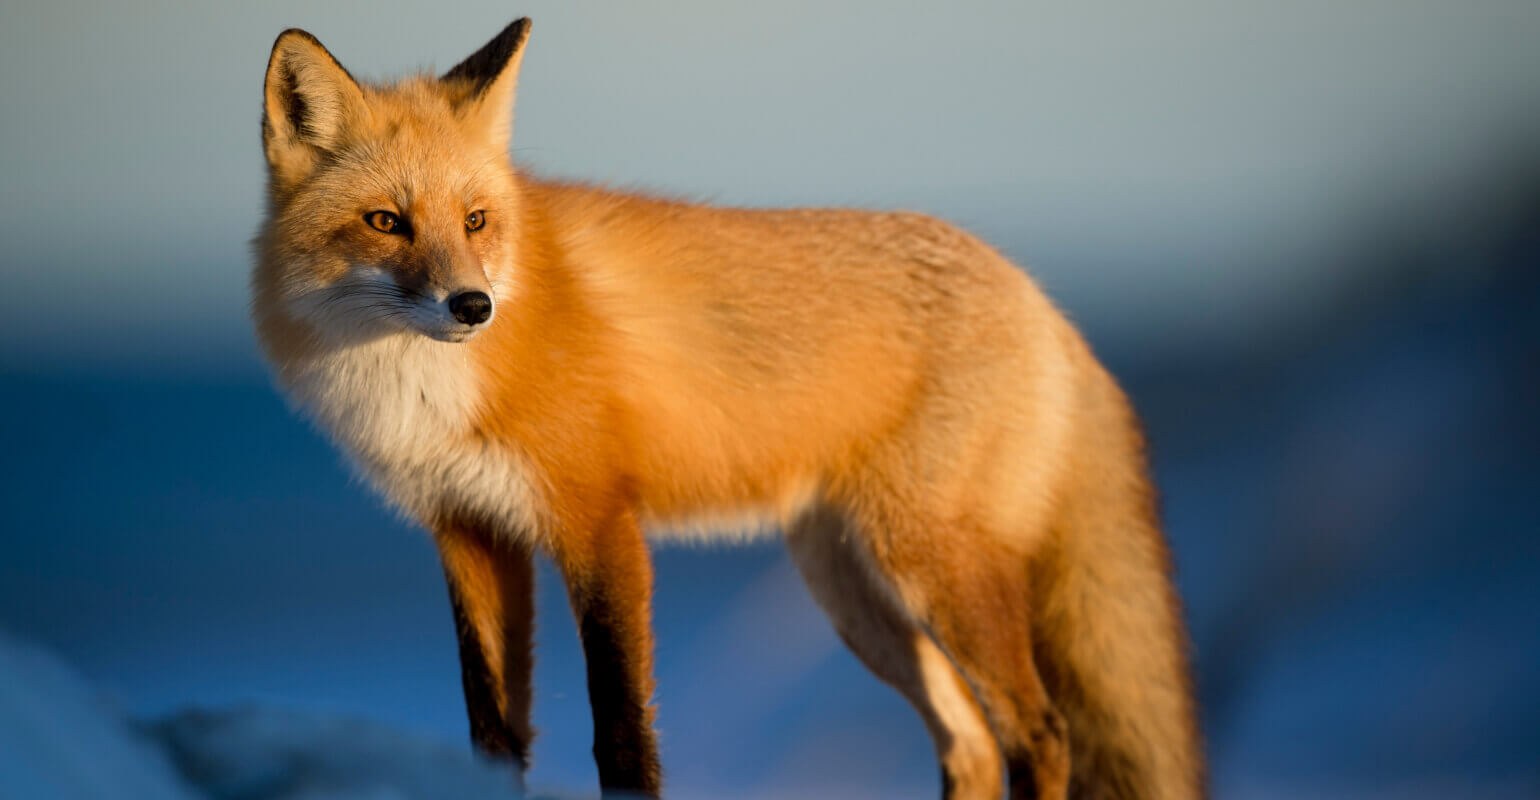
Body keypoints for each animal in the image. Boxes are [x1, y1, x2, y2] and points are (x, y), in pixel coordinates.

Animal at [253, 16, 1203, 800]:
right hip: (856, 595)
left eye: (477, 220)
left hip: (932, 569)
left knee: (1039, 733)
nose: (473, 306)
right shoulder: (469, 532)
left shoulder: (599, 523)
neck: (423, 389)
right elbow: (492, 732)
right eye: (387, 222)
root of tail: (1041, 298)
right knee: (969, 742)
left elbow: (621, 735)